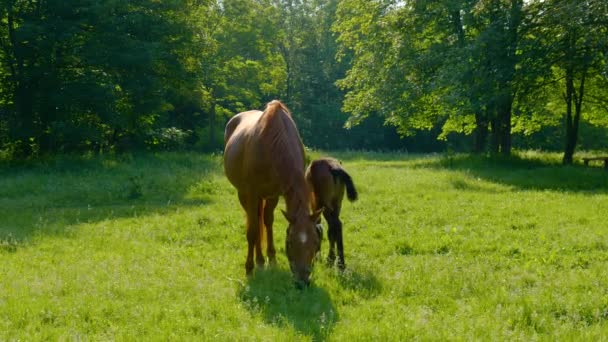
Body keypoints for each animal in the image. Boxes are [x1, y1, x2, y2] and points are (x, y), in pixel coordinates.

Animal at [223, 99, 324, 286]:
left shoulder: (275, 194)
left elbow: (268, 222)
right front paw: (249, 269)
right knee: (254, 222)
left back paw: (262, 260)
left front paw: (272, 259)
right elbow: (252, 231)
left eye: (315, 242)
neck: (274, 143)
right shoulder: (252, 193)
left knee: (263, 219)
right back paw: (257, 262)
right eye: (290, 242)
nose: (302, 281)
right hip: (244, 194)